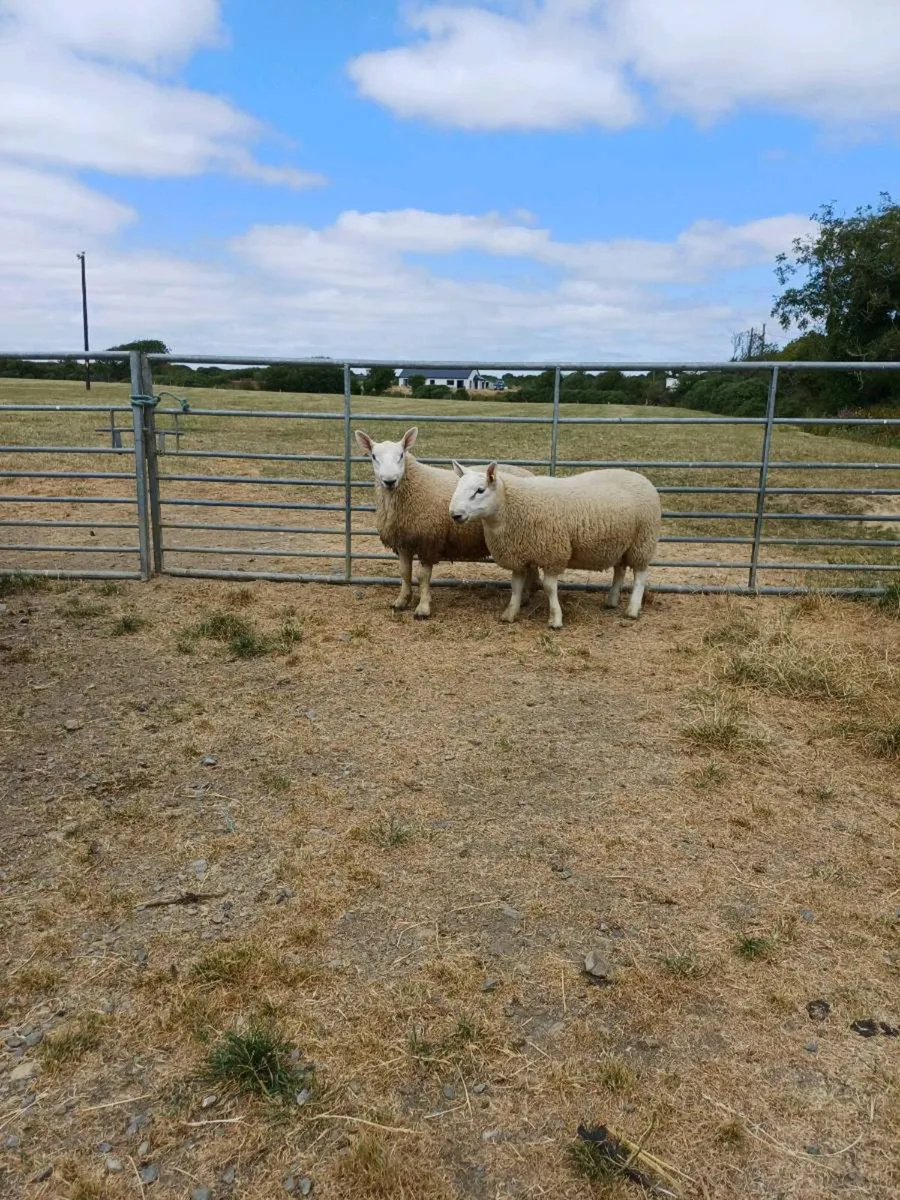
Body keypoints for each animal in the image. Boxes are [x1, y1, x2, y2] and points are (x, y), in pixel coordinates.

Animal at [354, 427, 539, 619]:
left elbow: (422, 576)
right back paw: (528, 595)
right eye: (374, 456)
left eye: (401, 455)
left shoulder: (428, 540)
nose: (389, 481)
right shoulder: (403, 542)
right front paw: (402, 600)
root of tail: (531, 474)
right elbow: (404, 572)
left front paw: (423, 607)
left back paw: (525, 596)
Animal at [448, 462, 662, 629]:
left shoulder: (553, 553)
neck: (510, 504)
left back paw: (632, 610)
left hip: (643, 540)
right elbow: (516, 586)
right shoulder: (518, 555)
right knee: (619, 570)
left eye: (480, 490)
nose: (455, 515)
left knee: (640, 575)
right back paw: (611, 601)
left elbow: (550, 588)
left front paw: (555, 619)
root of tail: (641, 477)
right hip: (620, 543)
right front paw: (509, 614)